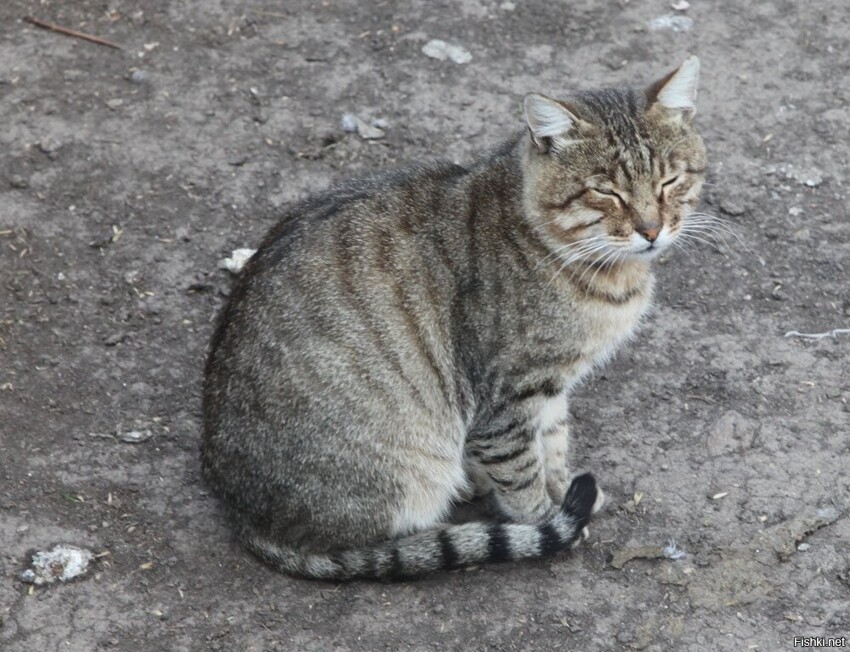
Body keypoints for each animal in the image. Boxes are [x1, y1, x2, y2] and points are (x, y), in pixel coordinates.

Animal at [199, 57, 704, 580]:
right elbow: (522, 471)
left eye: (669, 181)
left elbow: (555, 439)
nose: (651, 230)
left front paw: (563, 487)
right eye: (606, 191)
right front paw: (546, 517)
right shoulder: (506, 398)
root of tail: (246, 518)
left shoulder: (551, 386)